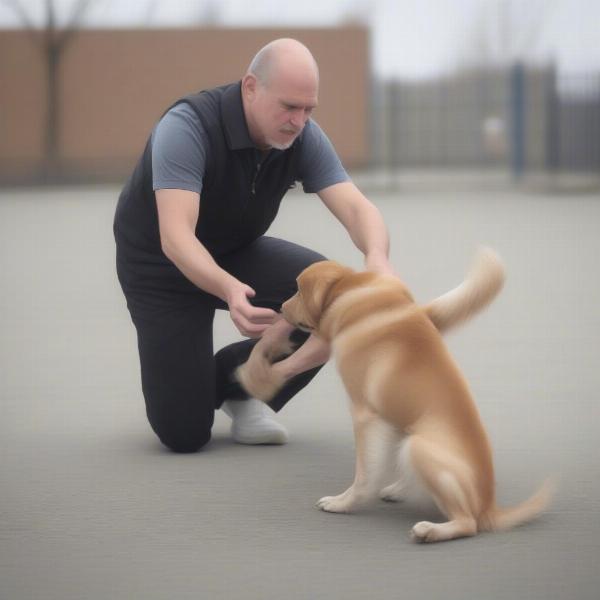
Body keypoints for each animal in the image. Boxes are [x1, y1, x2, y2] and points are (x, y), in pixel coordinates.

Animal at [237, 250, 556, 544]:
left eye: (299, 290)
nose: (280, 308)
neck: (350, 289)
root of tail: (490, 507)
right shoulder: (385, 419)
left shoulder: (364, 416)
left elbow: (364, 474)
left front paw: (343, 503)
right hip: (409, 434)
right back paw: (399, 491)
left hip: (420, 447)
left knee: (468, 524)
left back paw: (430, 530)